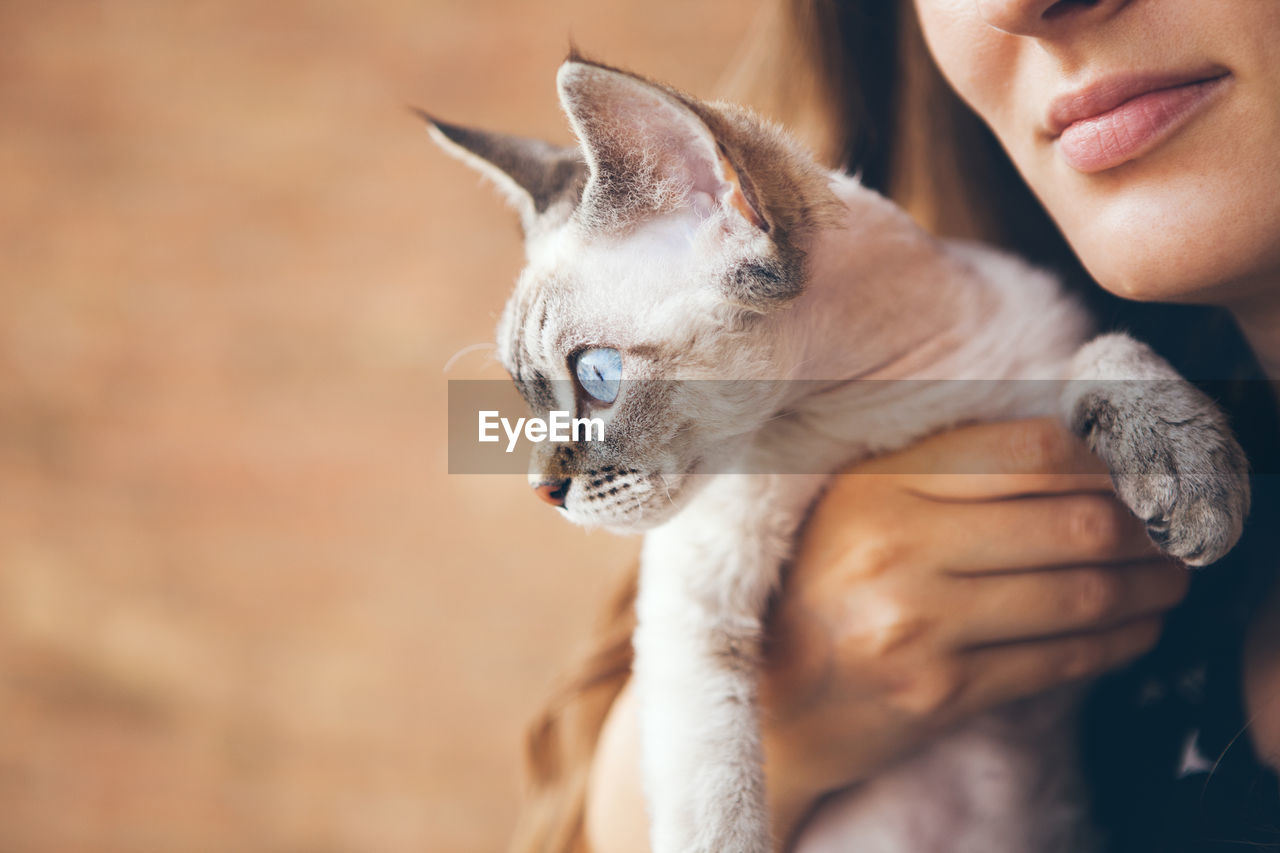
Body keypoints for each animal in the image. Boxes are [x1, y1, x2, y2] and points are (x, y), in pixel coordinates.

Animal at [422, 56, 1249, 845]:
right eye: (529, 397)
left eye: (595, 377)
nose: (544, 492)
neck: (874, 400)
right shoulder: (697, 612)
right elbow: (717, 808)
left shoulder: (1037, 367)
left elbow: (1106, 349)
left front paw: (1191, 471)